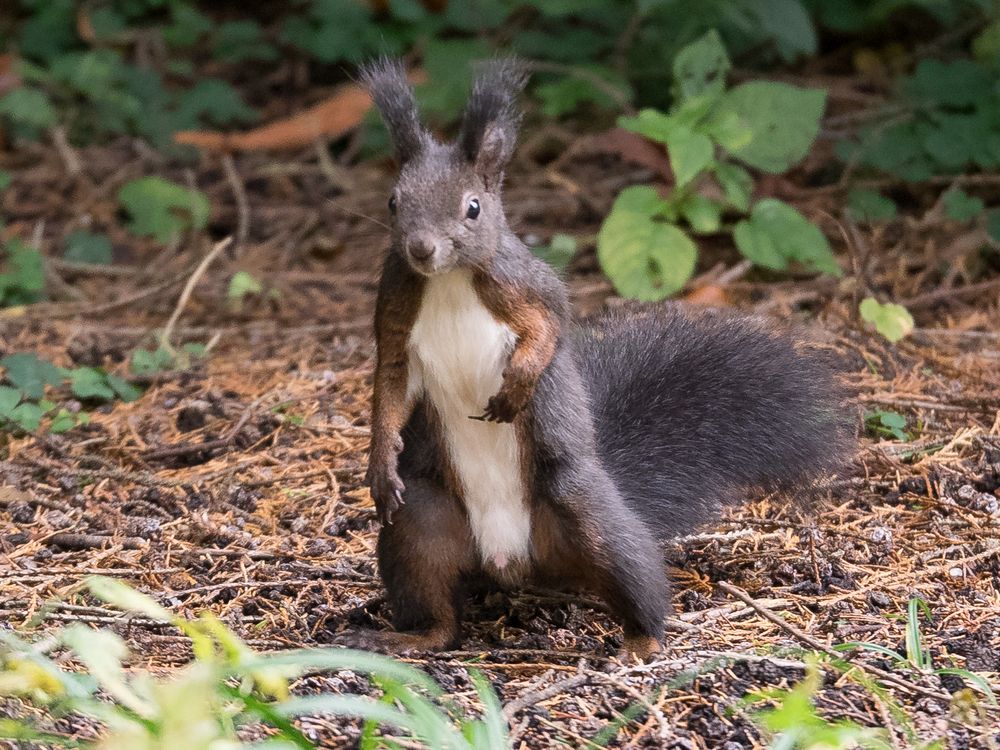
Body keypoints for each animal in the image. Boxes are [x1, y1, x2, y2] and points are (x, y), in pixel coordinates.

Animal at [350, 58, 852, 660]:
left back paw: (643, 641)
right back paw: (410, 636)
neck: (447, 280)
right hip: (420, 526)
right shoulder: (394, 310)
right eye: (393, 202)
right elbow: (391, 384)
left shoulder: (527, 286)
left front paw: (519, 382)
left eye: (473, 207)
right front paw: (381, 461)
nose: (421, 248)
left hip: (583, 515)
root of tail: (512, 561)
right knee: (438, 608)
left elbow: (548, 327)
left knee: (633, 573)